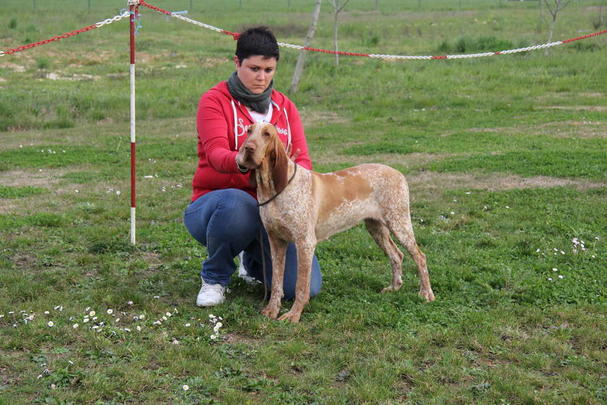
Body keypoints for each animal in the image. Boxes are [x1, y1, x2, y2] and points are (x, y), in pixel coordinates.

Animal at [236, 123, 435, 323]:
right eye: (249, 131)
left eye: (267, 134)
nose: (248, 148)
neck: (272, 189)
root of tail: (398, 173)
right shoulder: (276, 241)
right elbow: (277, 281)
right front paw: (272, 309)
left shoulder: (305, 243)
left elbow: (301, 286)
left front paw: (294, 314)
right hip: (376, 227)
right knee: (397, 255)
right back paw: (394, 287)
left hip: (399, 223)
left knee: (420, 256)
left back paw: (426, 293)